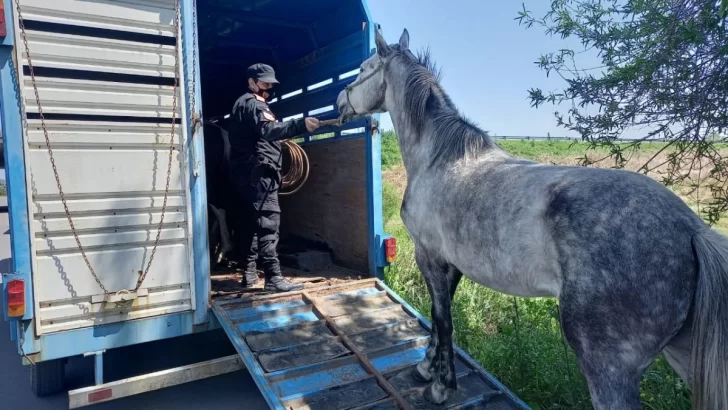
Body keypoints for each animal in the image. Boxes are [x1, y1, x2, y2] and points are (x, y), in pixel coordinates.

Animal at [336, 27, 728, 408]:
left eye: (362, 69)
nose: (340, 100)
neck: (439, 158)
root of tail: (691, 229)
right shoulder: (451, 263)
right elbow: (438, 315)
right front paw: (426, 368)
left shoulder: (428, 255)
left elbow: (444, 321)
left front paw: (441, 387)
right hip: (683, 352)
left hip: (608, 366)